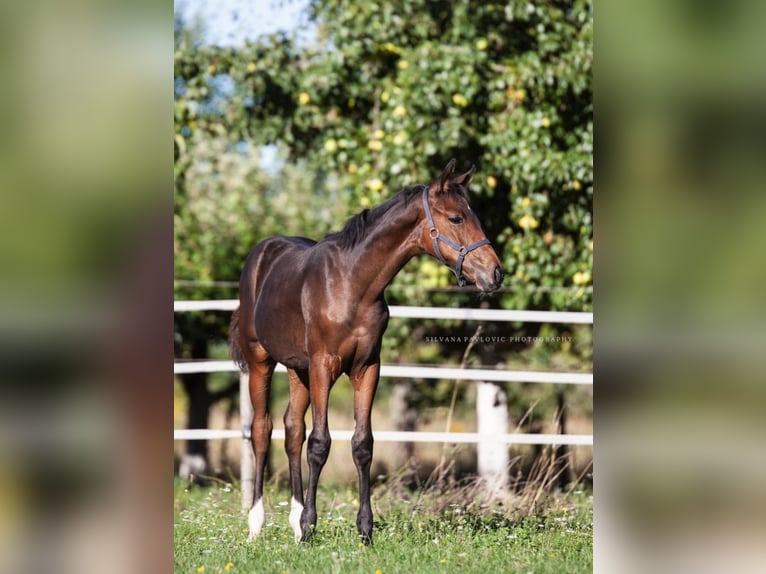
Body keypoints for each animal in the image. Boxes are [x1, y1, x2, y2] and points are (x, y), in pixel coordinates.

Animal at [229, 159, 504, 545]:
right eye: (456, 218)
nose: (495, 273)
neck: (352, 283)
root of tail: (260, 253)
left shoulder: (368, 367)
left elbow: (362, 443)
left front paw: (364, 530)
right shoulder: (324, 365)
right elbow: (320, 443)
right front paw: (310, 526)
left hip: (298, 369)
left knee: (292, 429)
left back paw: (293, 520)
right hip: (261, 361)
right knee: (262, 429)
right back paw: (257, 524)